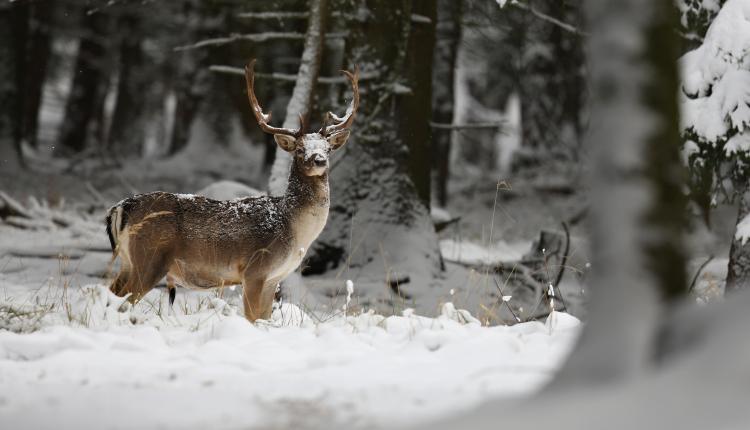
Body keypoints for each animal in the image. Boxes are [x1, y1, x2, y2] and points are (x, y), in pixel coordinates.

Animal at [106, 61, 362, 322]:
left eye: (328, 148)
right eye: (300, 150)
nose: (319, 159)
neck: (293, 229)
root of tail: (122, 207)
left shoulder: (274, 278)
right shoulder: (254, 269)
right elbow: (252, 318)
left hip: (128, 262)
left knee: (111, 293)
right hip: (150, 258)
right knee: (123, 301)